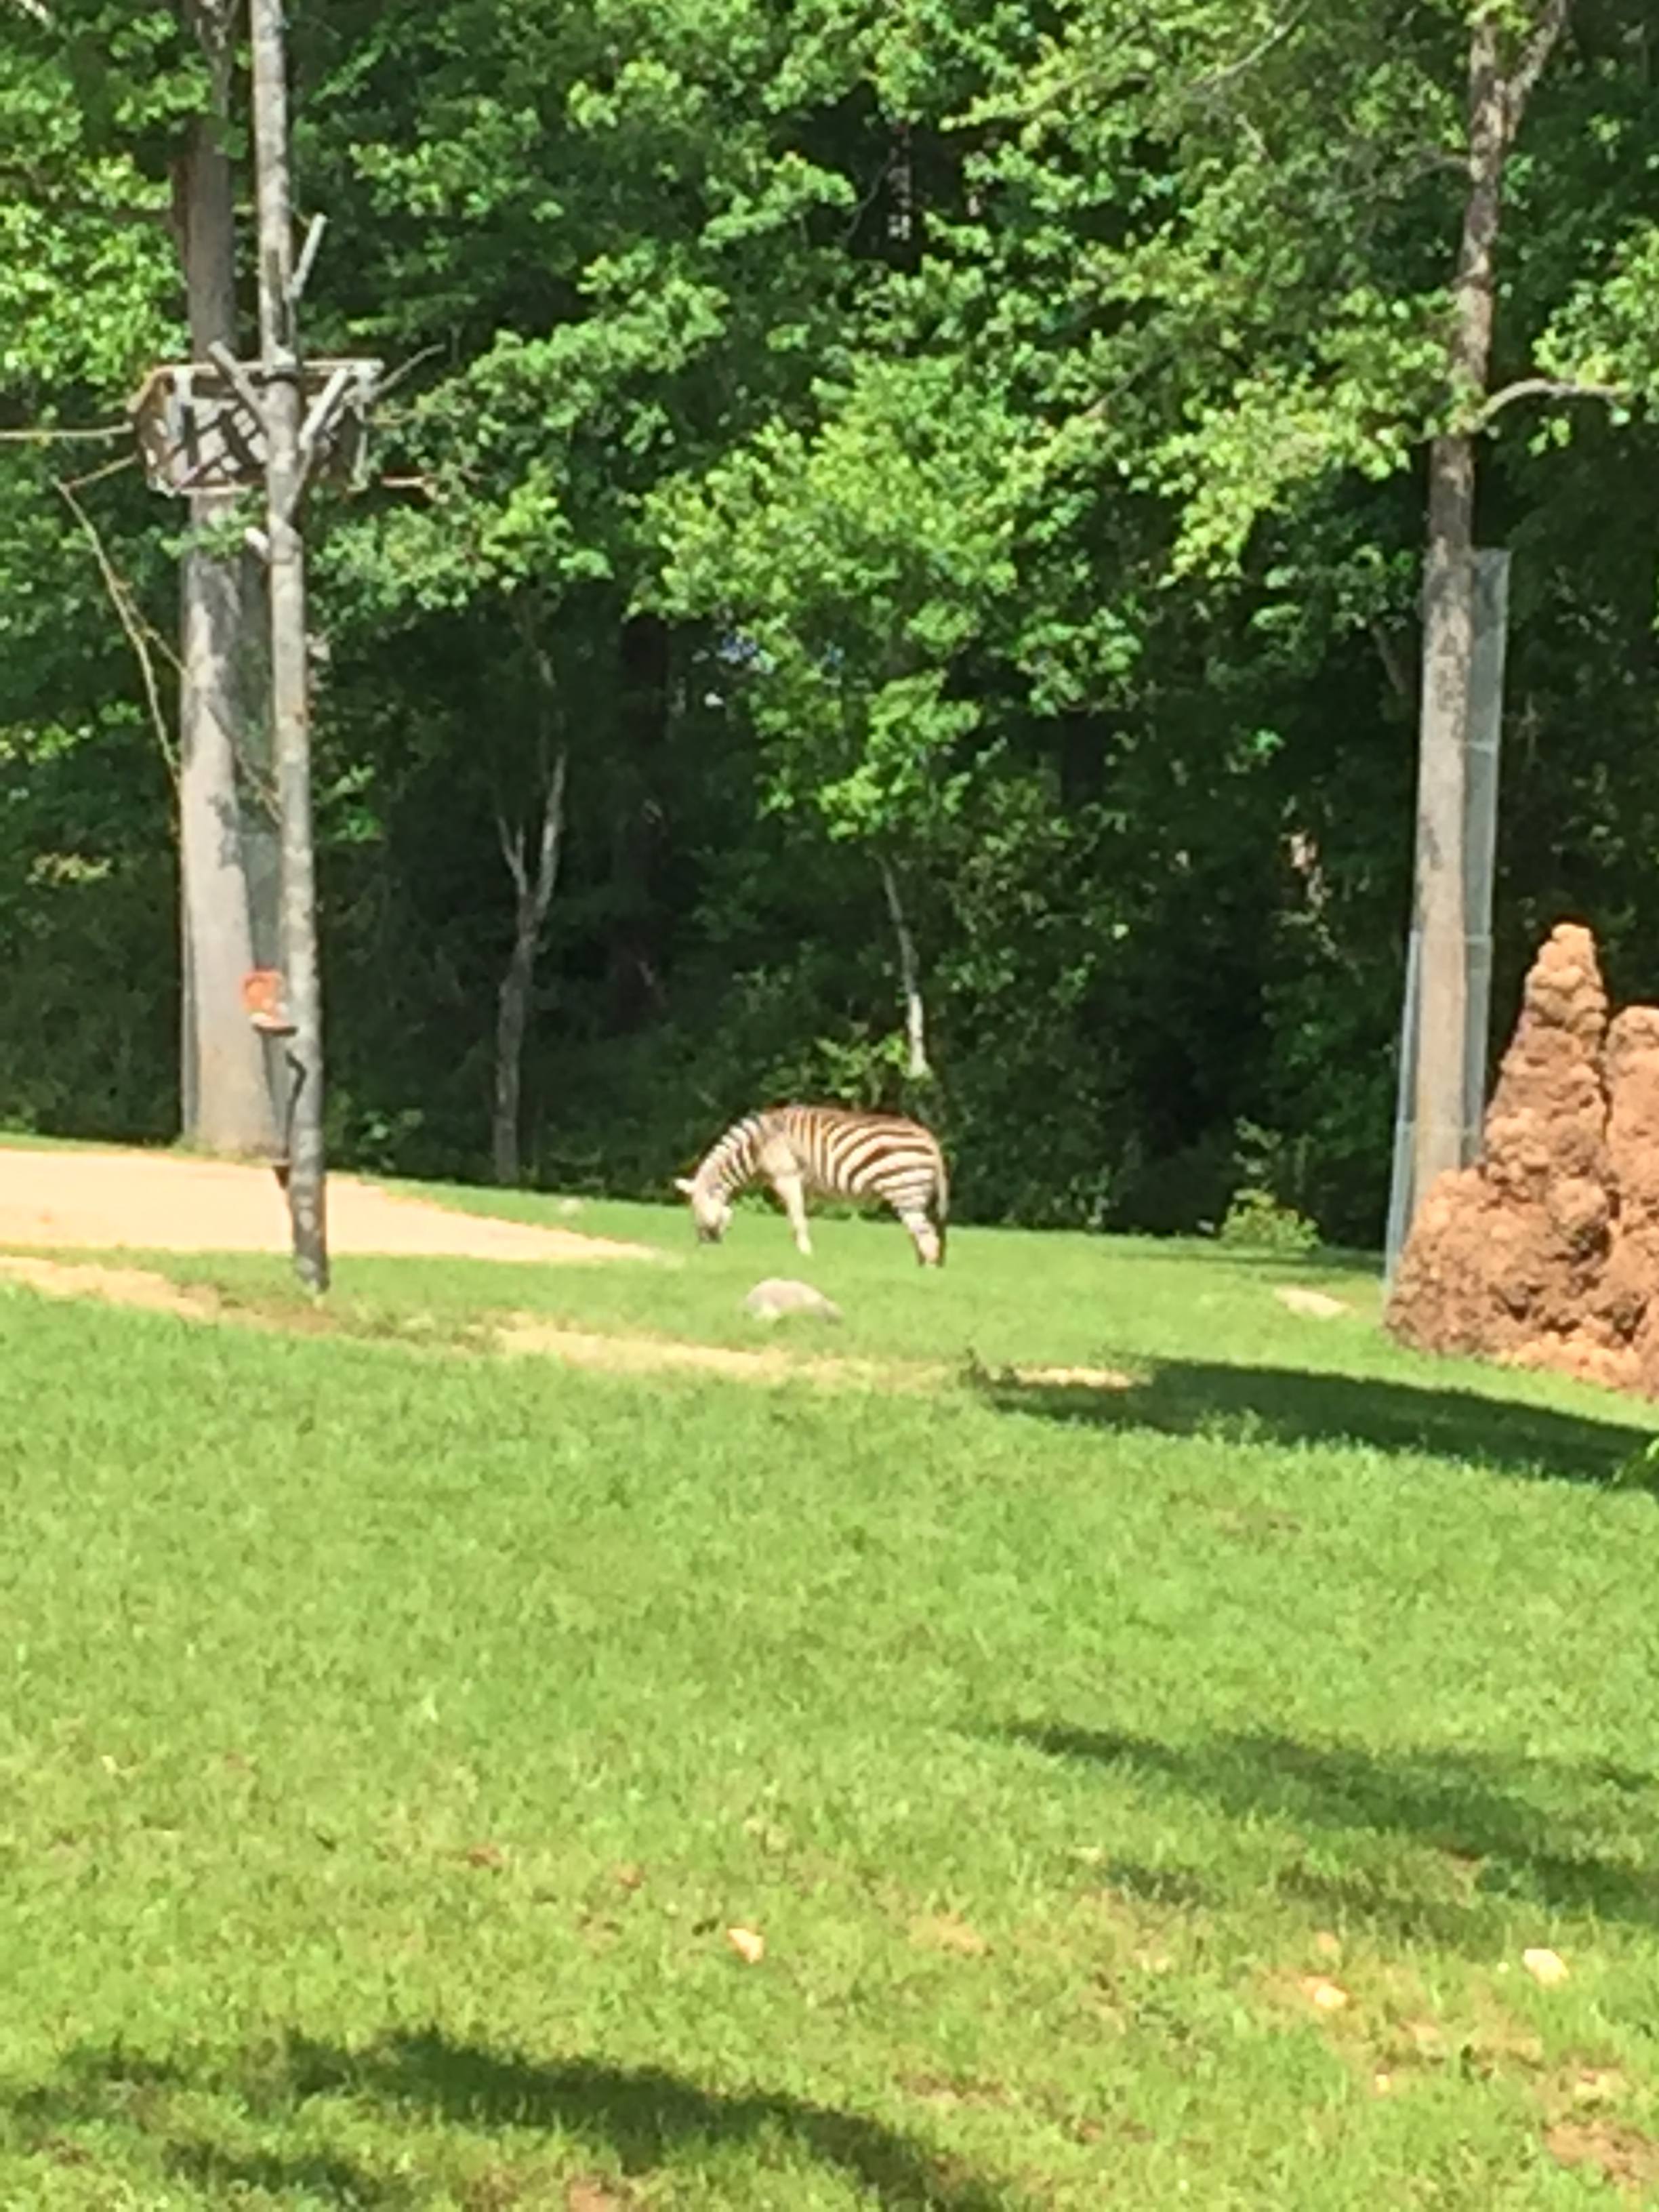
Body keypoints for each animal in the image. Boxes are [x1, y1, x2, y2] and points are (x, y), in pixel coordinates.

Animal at [676, 1101, 956, 1265]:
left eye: (695, 1212)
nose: (706, 1249)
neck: (760, 1146)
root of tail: (929, 1138)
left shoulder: (787, 1177)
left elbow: (797, 1220)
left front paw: (805, 1256)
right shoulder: (805, 1187)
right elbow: (801, 1220)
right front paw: (806, 1254)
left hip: (905, 1190)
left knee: (927, 1236)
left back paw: (924, 1274)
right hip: (911, 1194)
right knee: (922, 1234)